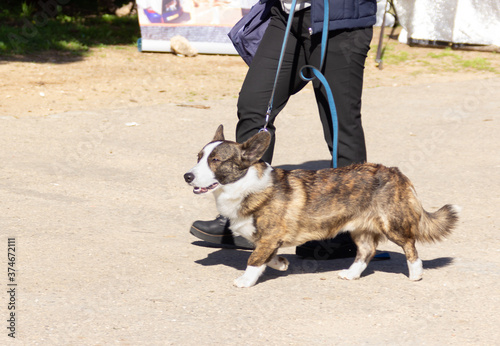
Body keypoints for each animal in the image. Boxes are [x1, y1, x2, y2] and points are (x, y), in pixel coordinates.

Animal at [185, 125, 460, 288]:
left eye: (215, 160)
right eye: (198, 157)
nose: (187, 176)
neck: (243, 185)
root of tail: (397, 173)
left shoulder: (270, 236)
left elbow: (254, 258)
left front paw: (245, 280)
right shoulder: (268, 240)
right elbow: (268, 256)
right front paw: (281, 263)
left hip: (391, 224)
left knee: (410, 246)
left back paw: (415, 273)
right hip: (359, 229)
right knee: (367, 251)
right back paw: (351, 274)